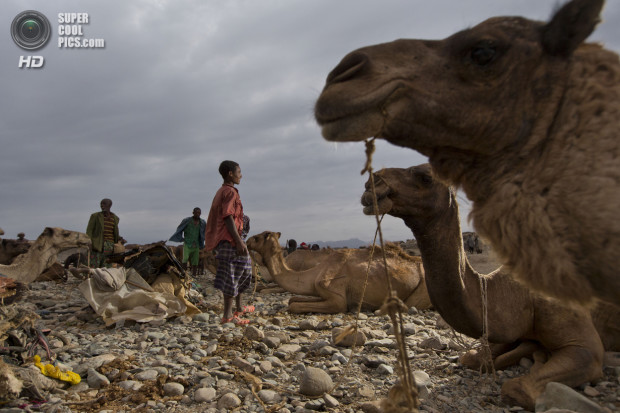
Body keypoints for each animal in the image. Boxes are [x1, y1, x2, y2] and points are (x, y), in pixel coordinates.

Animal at [243, 232, 432, 312]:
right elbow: (292, 299)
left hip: (424, 288)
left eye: (258, 237)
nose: (246, 241)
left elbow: (294, 306)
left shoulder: (337, 298)